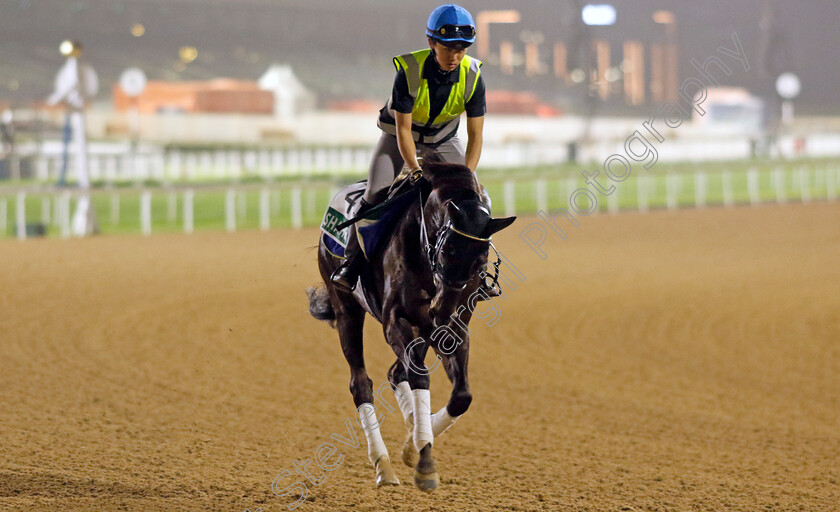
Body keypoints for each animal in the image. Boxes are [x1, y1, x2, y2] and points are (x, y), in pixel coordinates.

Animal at [308, 160, 516, 492]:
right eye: (447, 250)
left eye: (480, 259)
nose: (442, 308)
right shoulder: (397, 319)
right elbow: (419, 377)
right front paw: (424, 458)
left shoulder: (454, 327)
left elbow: (462, 396)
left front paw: (415, 442)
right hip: (346, 308)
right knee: (361, 383)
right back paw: (383, 465)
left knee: (396, 372)